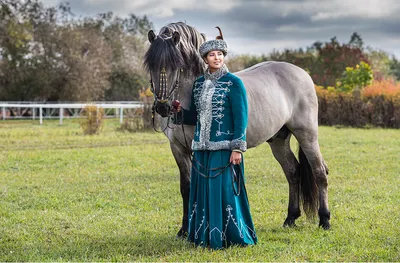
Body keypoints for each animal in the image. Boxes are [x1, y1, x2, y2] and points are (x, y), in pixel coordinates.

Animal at [144, 22, 332, 237]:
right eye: (151, 65)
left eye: (176, 65)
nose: (163, 107)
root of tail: (302, 73)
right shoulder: (178, 148)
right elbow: (187, 187)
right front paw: (184, 230)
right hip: (278, 140)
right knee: (292, 171)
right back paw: (290, 218)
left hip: (307, 135)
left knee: (319, 172)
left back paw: (325, 219)